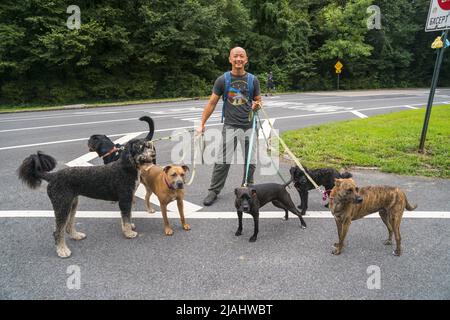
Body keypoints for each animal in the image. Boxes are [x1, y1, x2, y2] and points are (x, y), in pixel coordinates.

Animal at [18, 137, 156, 258]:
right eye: (140, 147)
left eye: (148, 146)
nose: (153, 154)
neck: (127, 166)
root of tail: (52, 176)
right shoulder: (124, 199)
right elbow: (126, 217)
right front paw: (128, 232)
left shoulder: (128, 199)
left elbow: (128, 216)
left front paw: (130, 226)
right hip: (62, 205)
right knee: (58, 231)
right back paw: (62, 250)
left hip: (72, 203)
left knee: (67, 226)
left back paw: (75, 235)